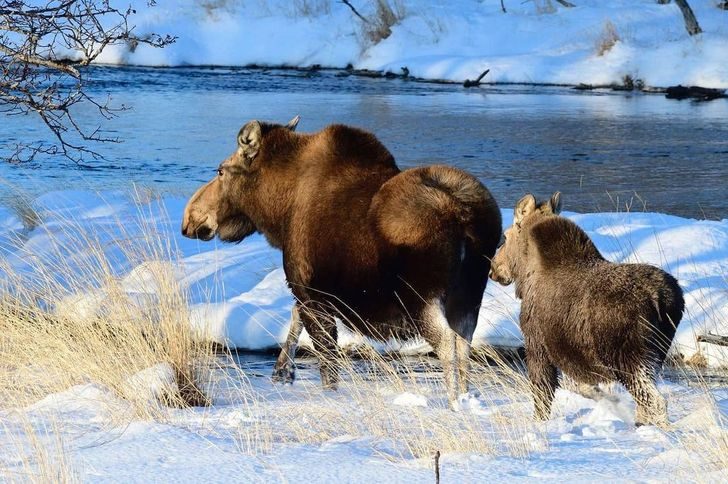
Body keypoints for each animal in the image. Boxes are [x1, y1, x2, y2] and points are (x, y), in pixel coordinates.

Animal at [182, 118, 500, 408]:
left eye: (221, 170)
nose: (190, 218)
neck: (278, 214)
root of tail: (464, 216)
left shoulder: (311, 292)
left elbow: (327, 363)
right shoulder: (310, 291)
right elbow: (295, 319)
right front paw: (283, 371)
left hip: (421, 297)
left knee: (447, 343)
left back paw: (455, 402)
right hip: (469, 296)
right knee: (465, 342)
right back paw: (467, 396)